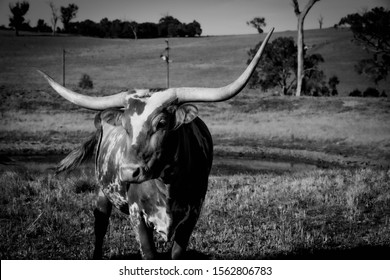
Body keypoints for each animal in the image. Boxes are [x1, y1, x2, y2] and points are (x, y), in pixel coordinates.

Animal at [38, 29, 272, 260]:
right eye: (125, 125)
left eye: (161, 123)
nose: (128, 172)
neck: (167, 184)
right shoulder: (137, 215)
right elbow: (148, 252)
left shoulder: (193, 215)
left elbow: (177, 253)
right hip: (103, 190)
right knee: (100, 223)